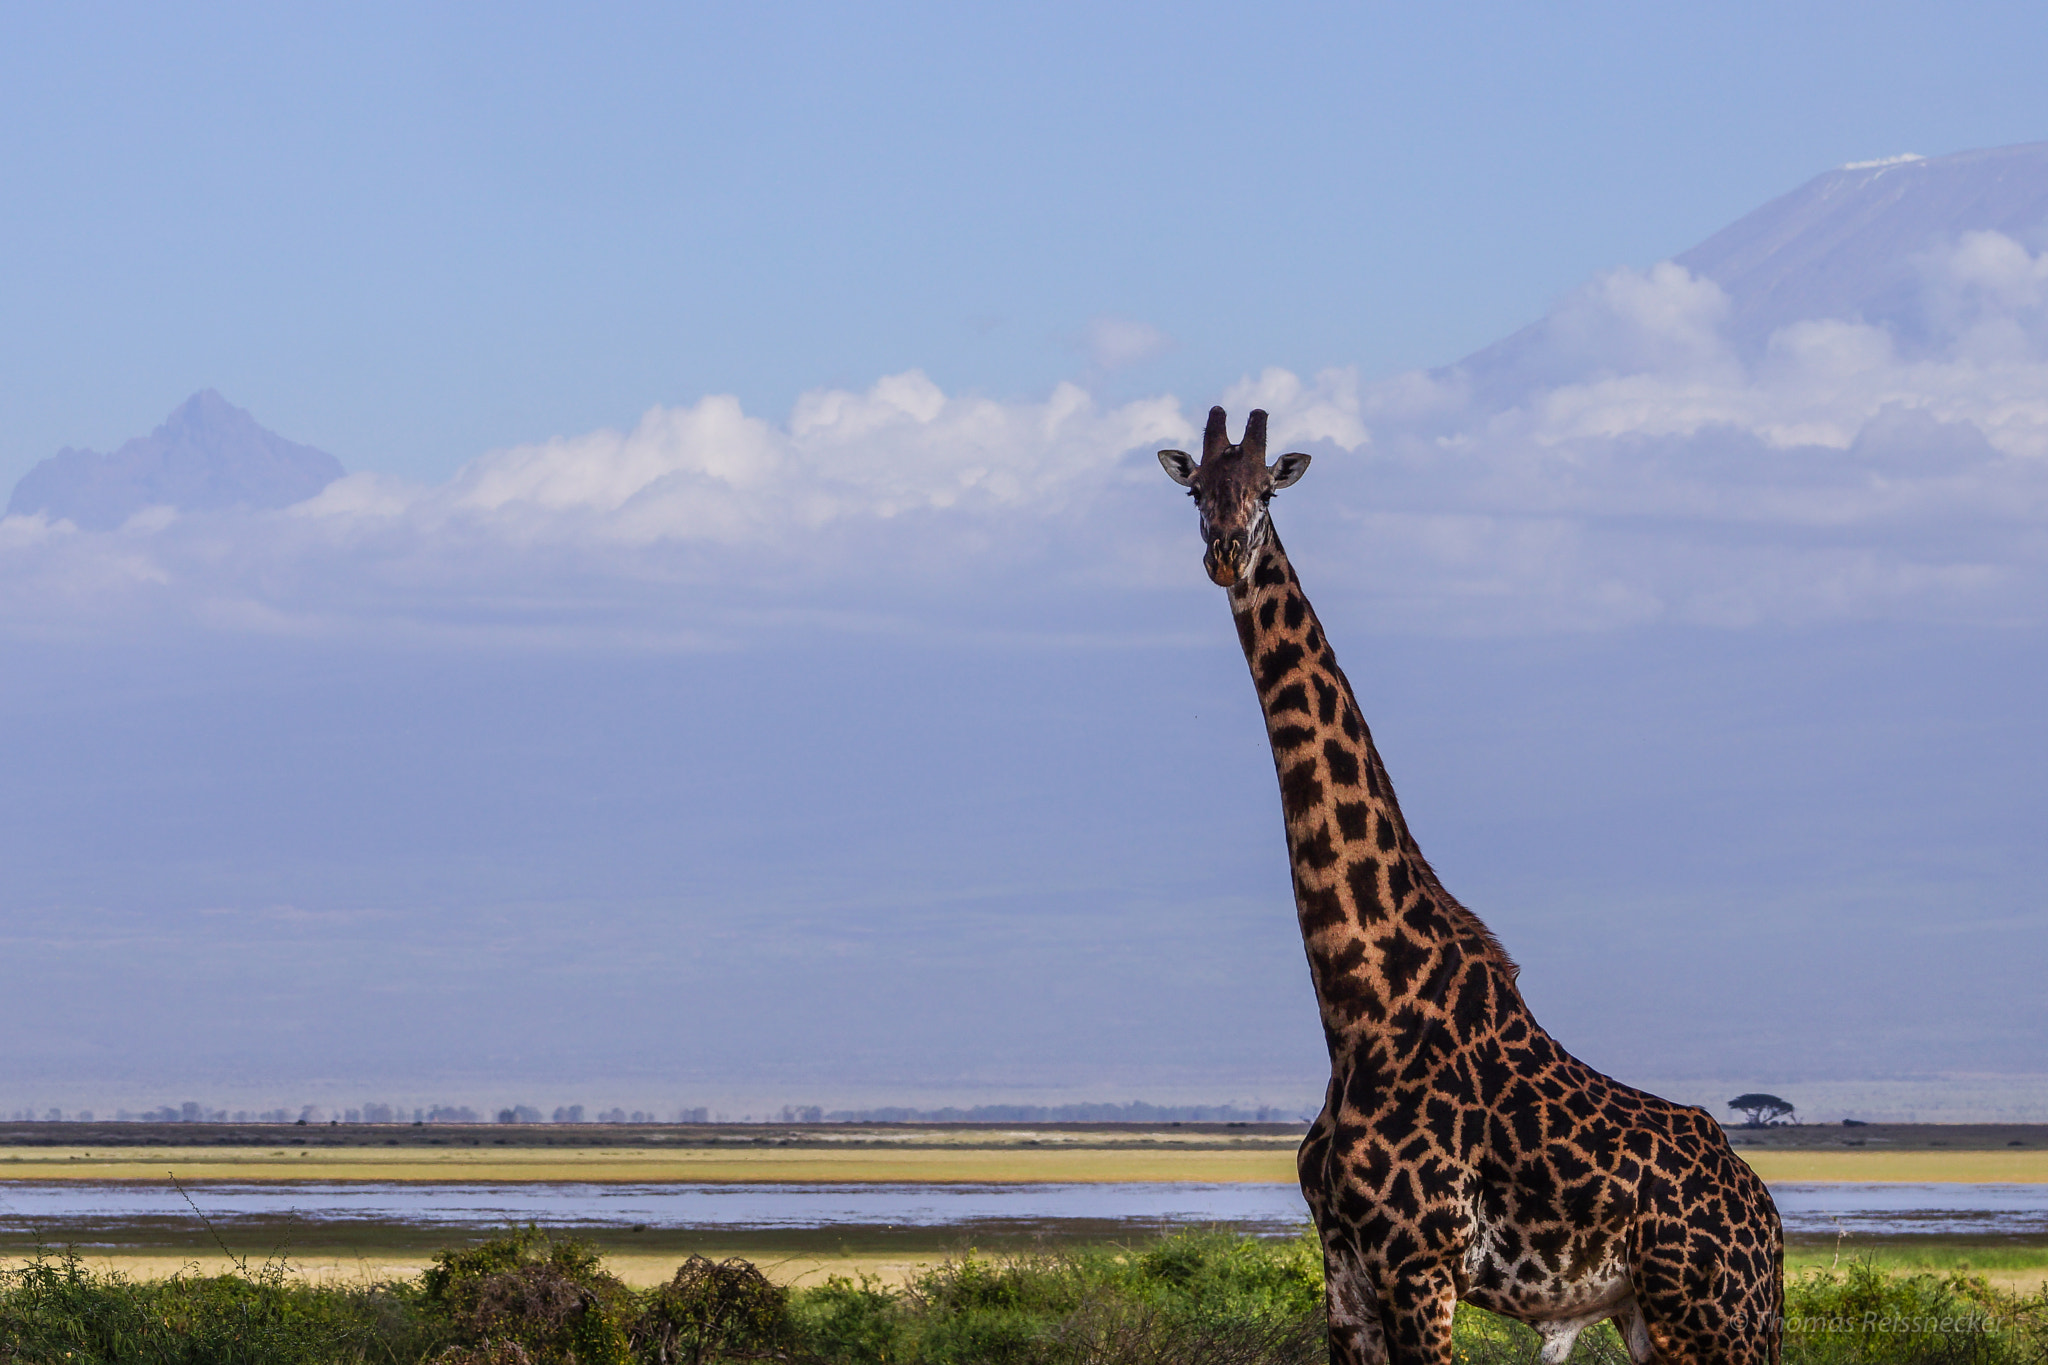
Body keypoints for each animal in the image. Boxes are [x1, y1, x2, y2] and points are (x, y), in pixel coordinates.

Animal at [1163, 409, 1785, 1365]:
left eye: (1267, 490)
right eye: (1197, 489)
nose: (1227, 552)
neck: (1360, 1003)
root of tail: (1774, 1227)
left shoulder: (1420, 1262)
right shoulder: (1346, 1268)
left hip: (1712, 1316)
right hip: (1652, 1315)